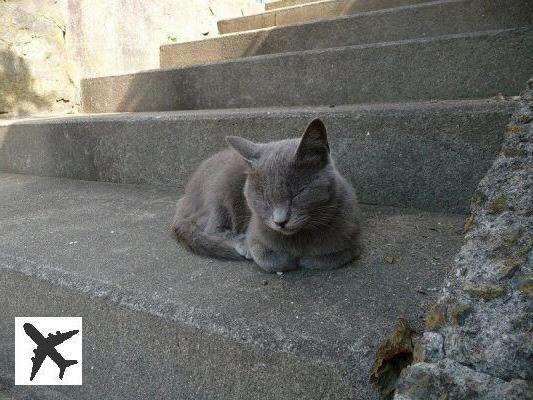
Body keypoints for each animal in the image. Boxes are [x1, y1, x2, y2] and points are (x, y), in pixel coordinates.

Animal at [172, 118, 360, 272]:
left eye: (298, 193)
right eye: (264, 199)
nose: (280, 221)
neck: (298, 238)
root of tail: (184, 198)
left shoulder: (352, 240)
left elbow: (328, 258)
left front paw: (304, 258)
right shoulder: (256, 233)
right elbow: (267, 259)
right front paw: (287, 259)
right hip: (221, 188)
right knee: (211, 228)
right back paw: (241, 243)